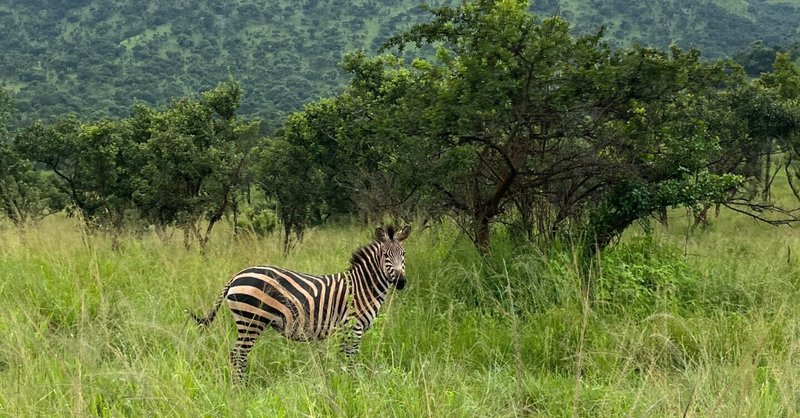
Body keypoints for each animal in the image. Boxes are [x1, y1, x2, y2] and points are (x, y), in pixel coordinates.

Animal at [190, 225, 410, 382]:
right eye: (385, 255)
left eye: (404, 254)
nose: (401, 282)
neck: (361, 287)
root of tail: (236, 276)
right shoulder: (352, 328)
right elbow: (350, 359)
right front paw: (352, 385)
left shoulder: (345, 331)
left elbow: (344, 359)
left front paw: (343, 383)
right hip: (252, 321)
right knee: (238, 355)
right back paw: (241, 388)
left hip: (248, 322)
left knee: (237, 355)